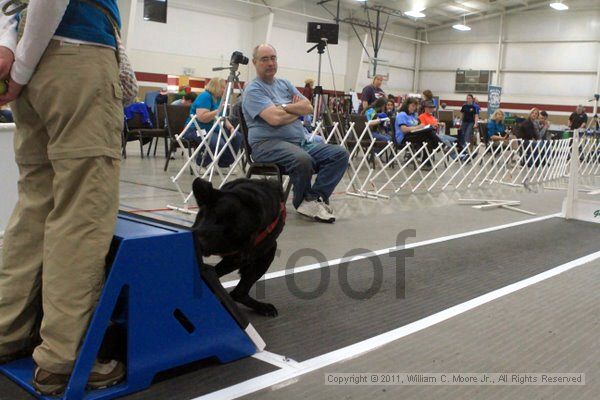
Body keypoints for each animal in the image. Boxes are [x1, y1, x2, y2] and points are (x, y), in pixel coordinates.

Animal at [192, 177, 286, 316]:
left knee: (238, 293)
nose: (200, 243)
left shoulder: (239, 257)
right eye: (212, 215)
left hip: (266, 253)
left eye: (233, 234)